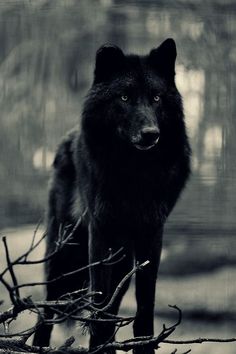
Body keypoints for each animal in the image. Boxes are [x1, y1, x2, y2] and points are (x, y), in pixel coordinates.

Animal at [33, 39, 191, 354]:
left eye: (156, 97)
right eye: (125, 97)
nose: (150, 134)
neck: (134, 174)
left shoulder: (152, 235)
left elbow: (144, 304)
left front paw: (143, 344)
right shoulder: (100, 232)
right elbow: (99, 301)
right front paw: (99, 344)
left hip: (123, 262)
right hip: (62, 252)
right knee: (47, 311)